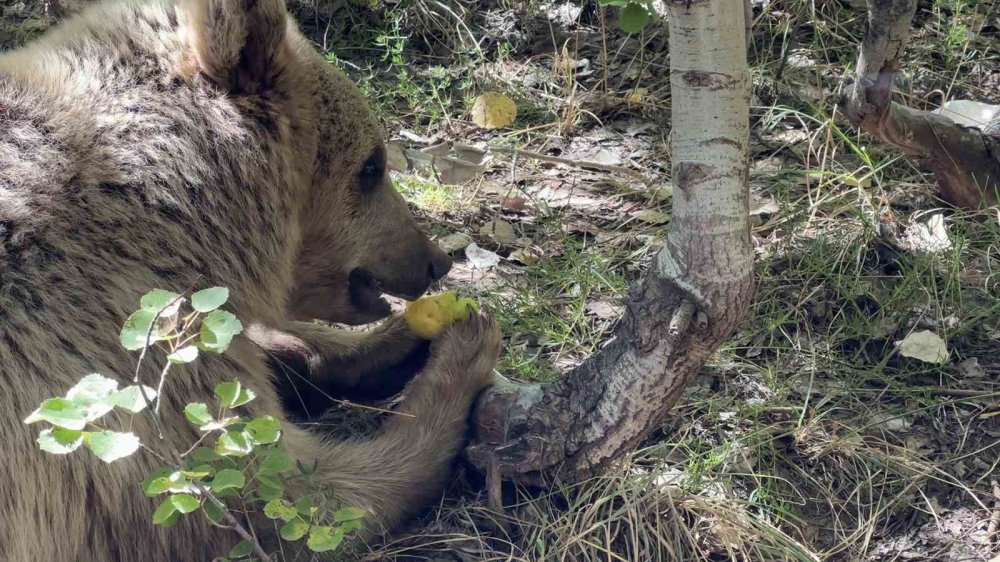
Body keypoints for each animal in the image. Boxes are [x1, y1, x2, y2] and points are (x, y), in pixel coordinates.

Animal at [0, 1, 500, 556]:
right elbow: (284, 493)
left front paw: (399, 342)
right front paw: (462, 353)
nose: (436, 261)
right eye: (371, 166)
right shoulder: (104, 344)